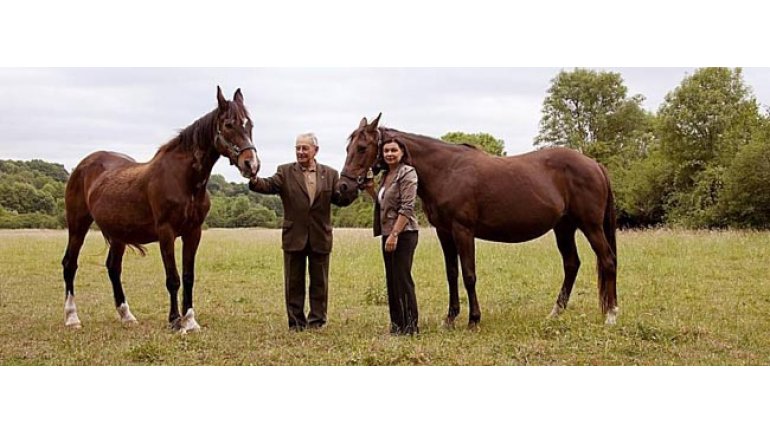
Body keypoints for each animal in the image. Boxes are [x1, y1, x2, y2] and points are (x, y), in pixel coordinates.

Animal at [61, 86, 260, 333]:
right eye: (229, 124)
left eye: (250, 125)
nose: (251, 164)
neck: (183, 179)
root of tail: (83, 165)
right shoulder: (166, 232)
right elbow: (173, 278)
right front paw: (175, 321)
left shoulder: (193, 233)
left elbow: (188, 276)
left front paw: (190, 320)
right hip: (77, 225)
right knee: (70, 264)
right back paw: (72, 317)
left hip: (118, 234)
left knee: (113, 268)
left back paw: (126, 315)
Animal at [338, 114, 618, 327]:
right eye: (348, 148)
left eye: (362, 148)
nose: (343, 188)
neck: (446, 171)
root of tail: (595, 165)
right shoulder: (444, 232)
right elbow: (452, 273)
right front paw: (450, 318)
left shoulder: (463, 231)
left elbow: (469, 274)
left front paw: (474, 319)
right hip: (564, 227)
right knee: (572, 264)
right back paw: (555, 313)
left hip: (590, 226)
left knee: (607, 260)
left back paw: (611, 315)